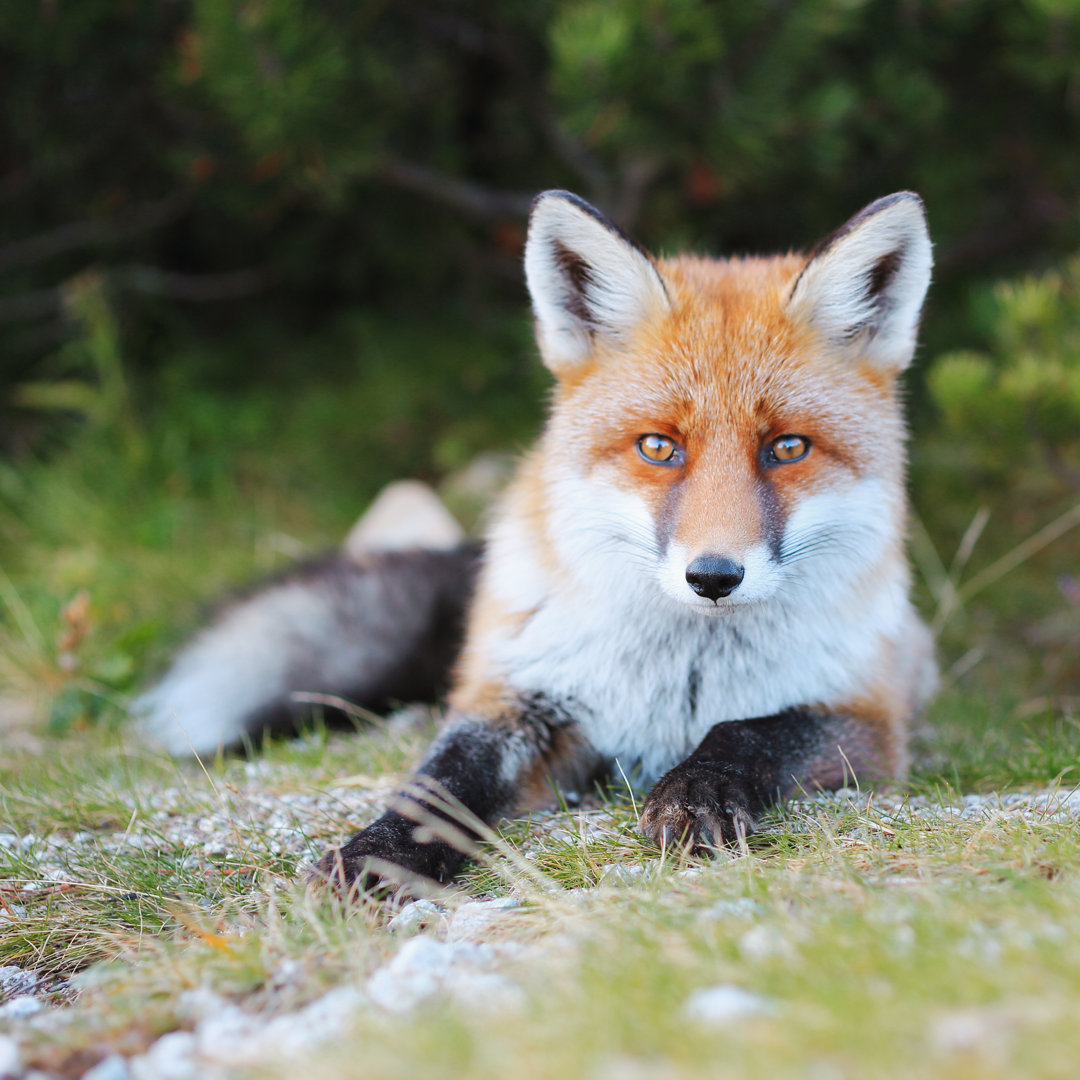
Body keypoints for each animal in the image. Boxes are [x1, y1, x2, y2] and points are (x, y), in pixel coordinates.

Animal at [139, 190, 937, 889]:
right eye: (658, 447)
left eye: (787, 448)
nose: (713, 577)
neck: (682, 674)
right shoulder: (517, 700)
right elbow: (435, 790)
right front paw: (375, 855)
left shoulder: (869, 721)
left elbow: (746, 731)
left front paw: (697, 790)